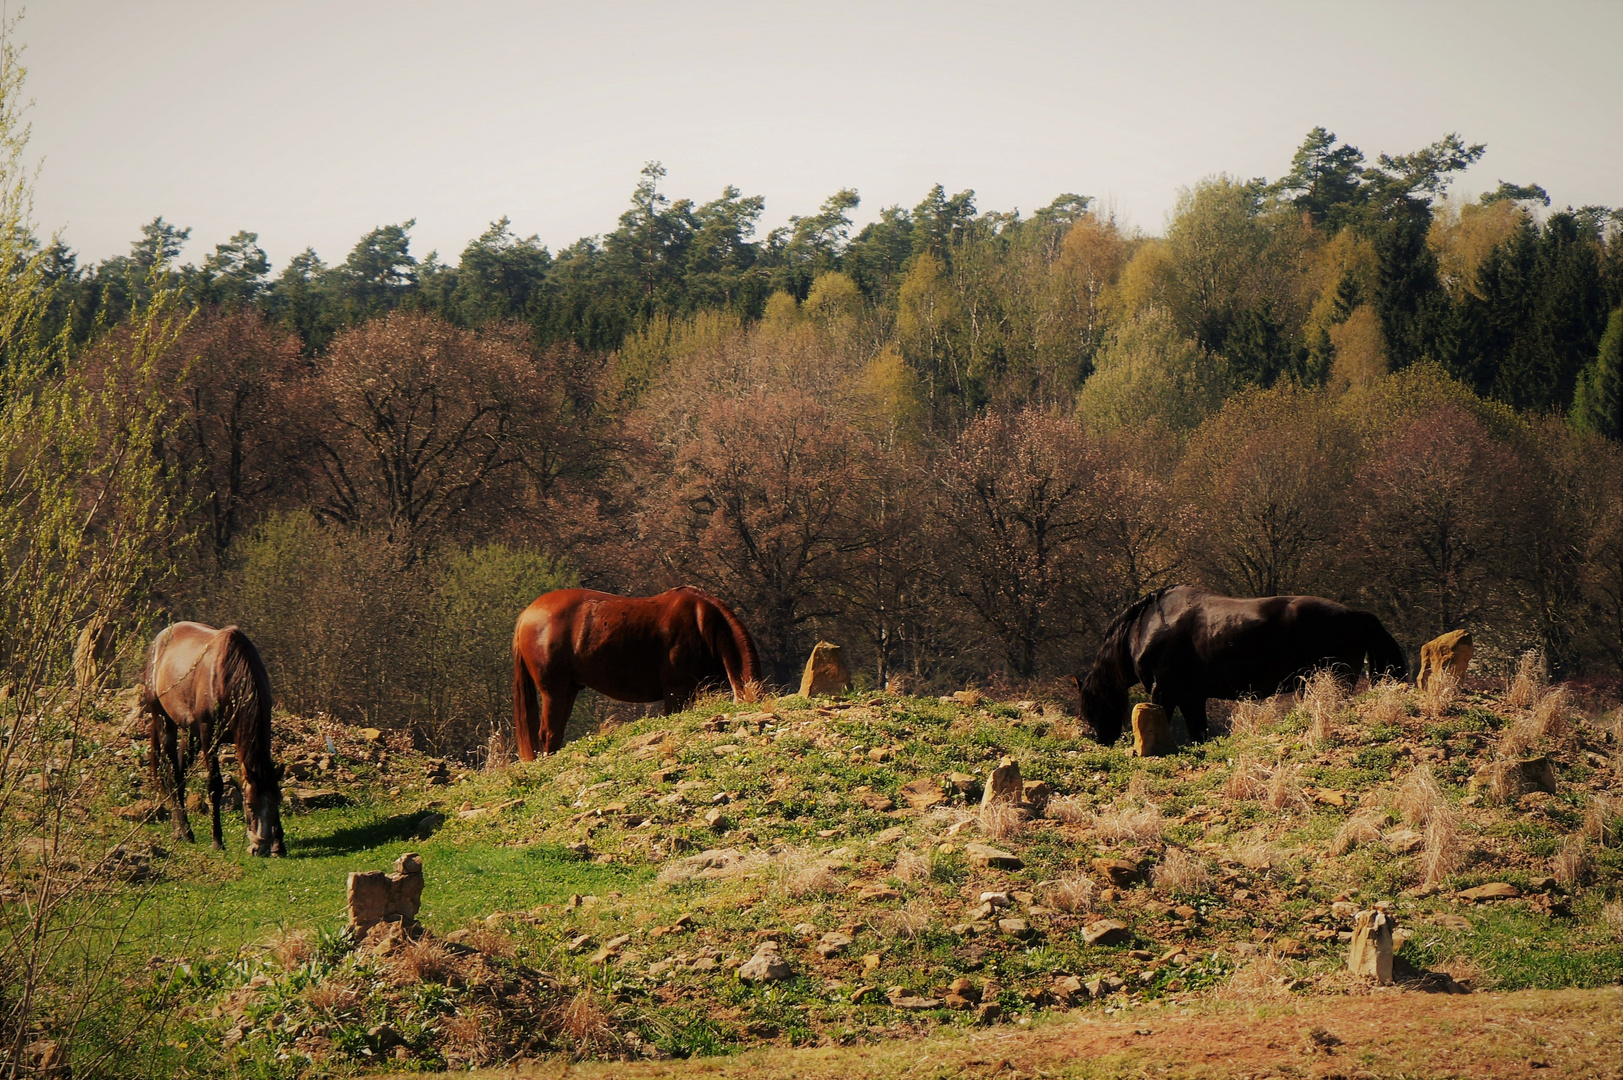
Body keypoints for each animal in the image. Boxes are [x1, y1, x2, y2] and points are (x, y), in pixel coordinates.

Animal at [139, 620, 285, 857]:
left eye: (276, 803)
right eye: (249, 805)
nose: (260, 848)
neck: (227, 678)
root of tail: (158, 640)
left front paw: (279, 844)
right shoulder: (209, 734)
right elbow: (215, 786)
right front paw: (217, 840)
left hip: (191, 733)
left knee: (179, 776)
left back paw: (178, 830)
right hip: (164, 721)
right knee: (171, 773)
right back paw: (187, 832)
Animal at [509, 591, 762, 756]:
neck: (702, 623)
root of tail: (526, 614)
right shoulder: (676, 691)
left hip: (569, 690)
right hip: (554, 692)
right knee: (548, 733)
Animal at [1077, 584, 1408, 747]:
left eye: (1092, 706)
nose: (1102, 740)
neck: (1146, 626)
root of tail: (1356, 615)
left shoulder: (1164, 694)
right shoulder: (1191, 698)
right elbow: (1199, 734)